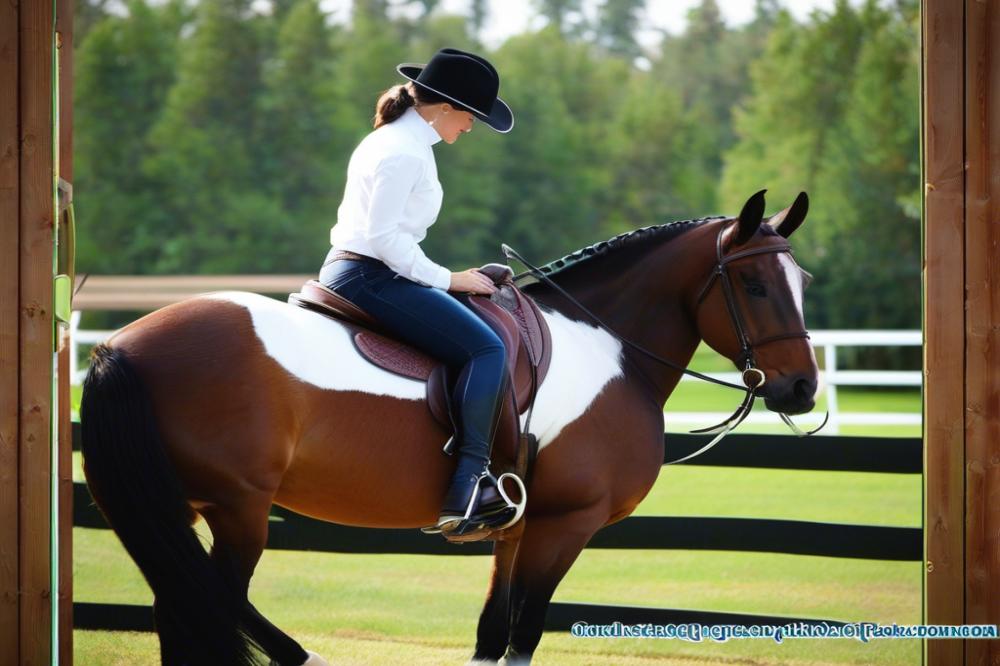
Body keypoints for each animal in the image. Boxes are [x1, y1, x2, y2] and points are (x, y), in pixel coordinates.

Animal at [82, 188, 820, 664]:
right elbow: (523, 635)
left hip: (178, 508)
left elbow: (492, 636)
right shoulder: (565, 524)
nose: (803, 387)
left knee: (184, 610)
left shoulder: (518, 530)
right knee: (209, 603)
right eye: (755, 286)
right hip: (237, 510)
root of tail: (123, 346)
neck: (608, 346)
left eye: (802, 281)